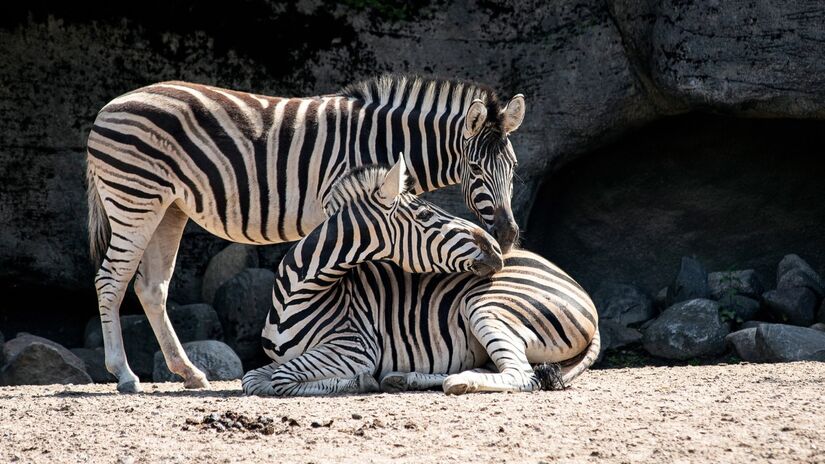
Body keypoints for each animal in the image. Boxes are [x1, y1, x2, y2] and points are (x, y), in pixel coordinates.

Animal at [85, 74, 526, 393]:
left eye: (514, 167)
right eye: (476, 170)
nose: (507, 236)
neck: (384, 141)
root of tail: (109, 107)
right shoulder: (341, 203)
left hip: (169, 207)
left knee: (151, 287)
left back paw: (189, 373)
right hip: (135, 198)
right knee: (110, 280)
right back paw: (124, 374)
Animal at [242, 160, 599, 396]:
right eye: (427, 214)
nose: (498, 249)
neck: (298, 293)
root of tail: (582, 292)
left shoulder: (355, 348)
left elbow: (280, 380)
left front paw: (360, 381)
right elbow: (253, 379)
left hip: (487, 306)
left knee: (523, 375)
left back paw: (457, 382)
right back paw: (406, 378)